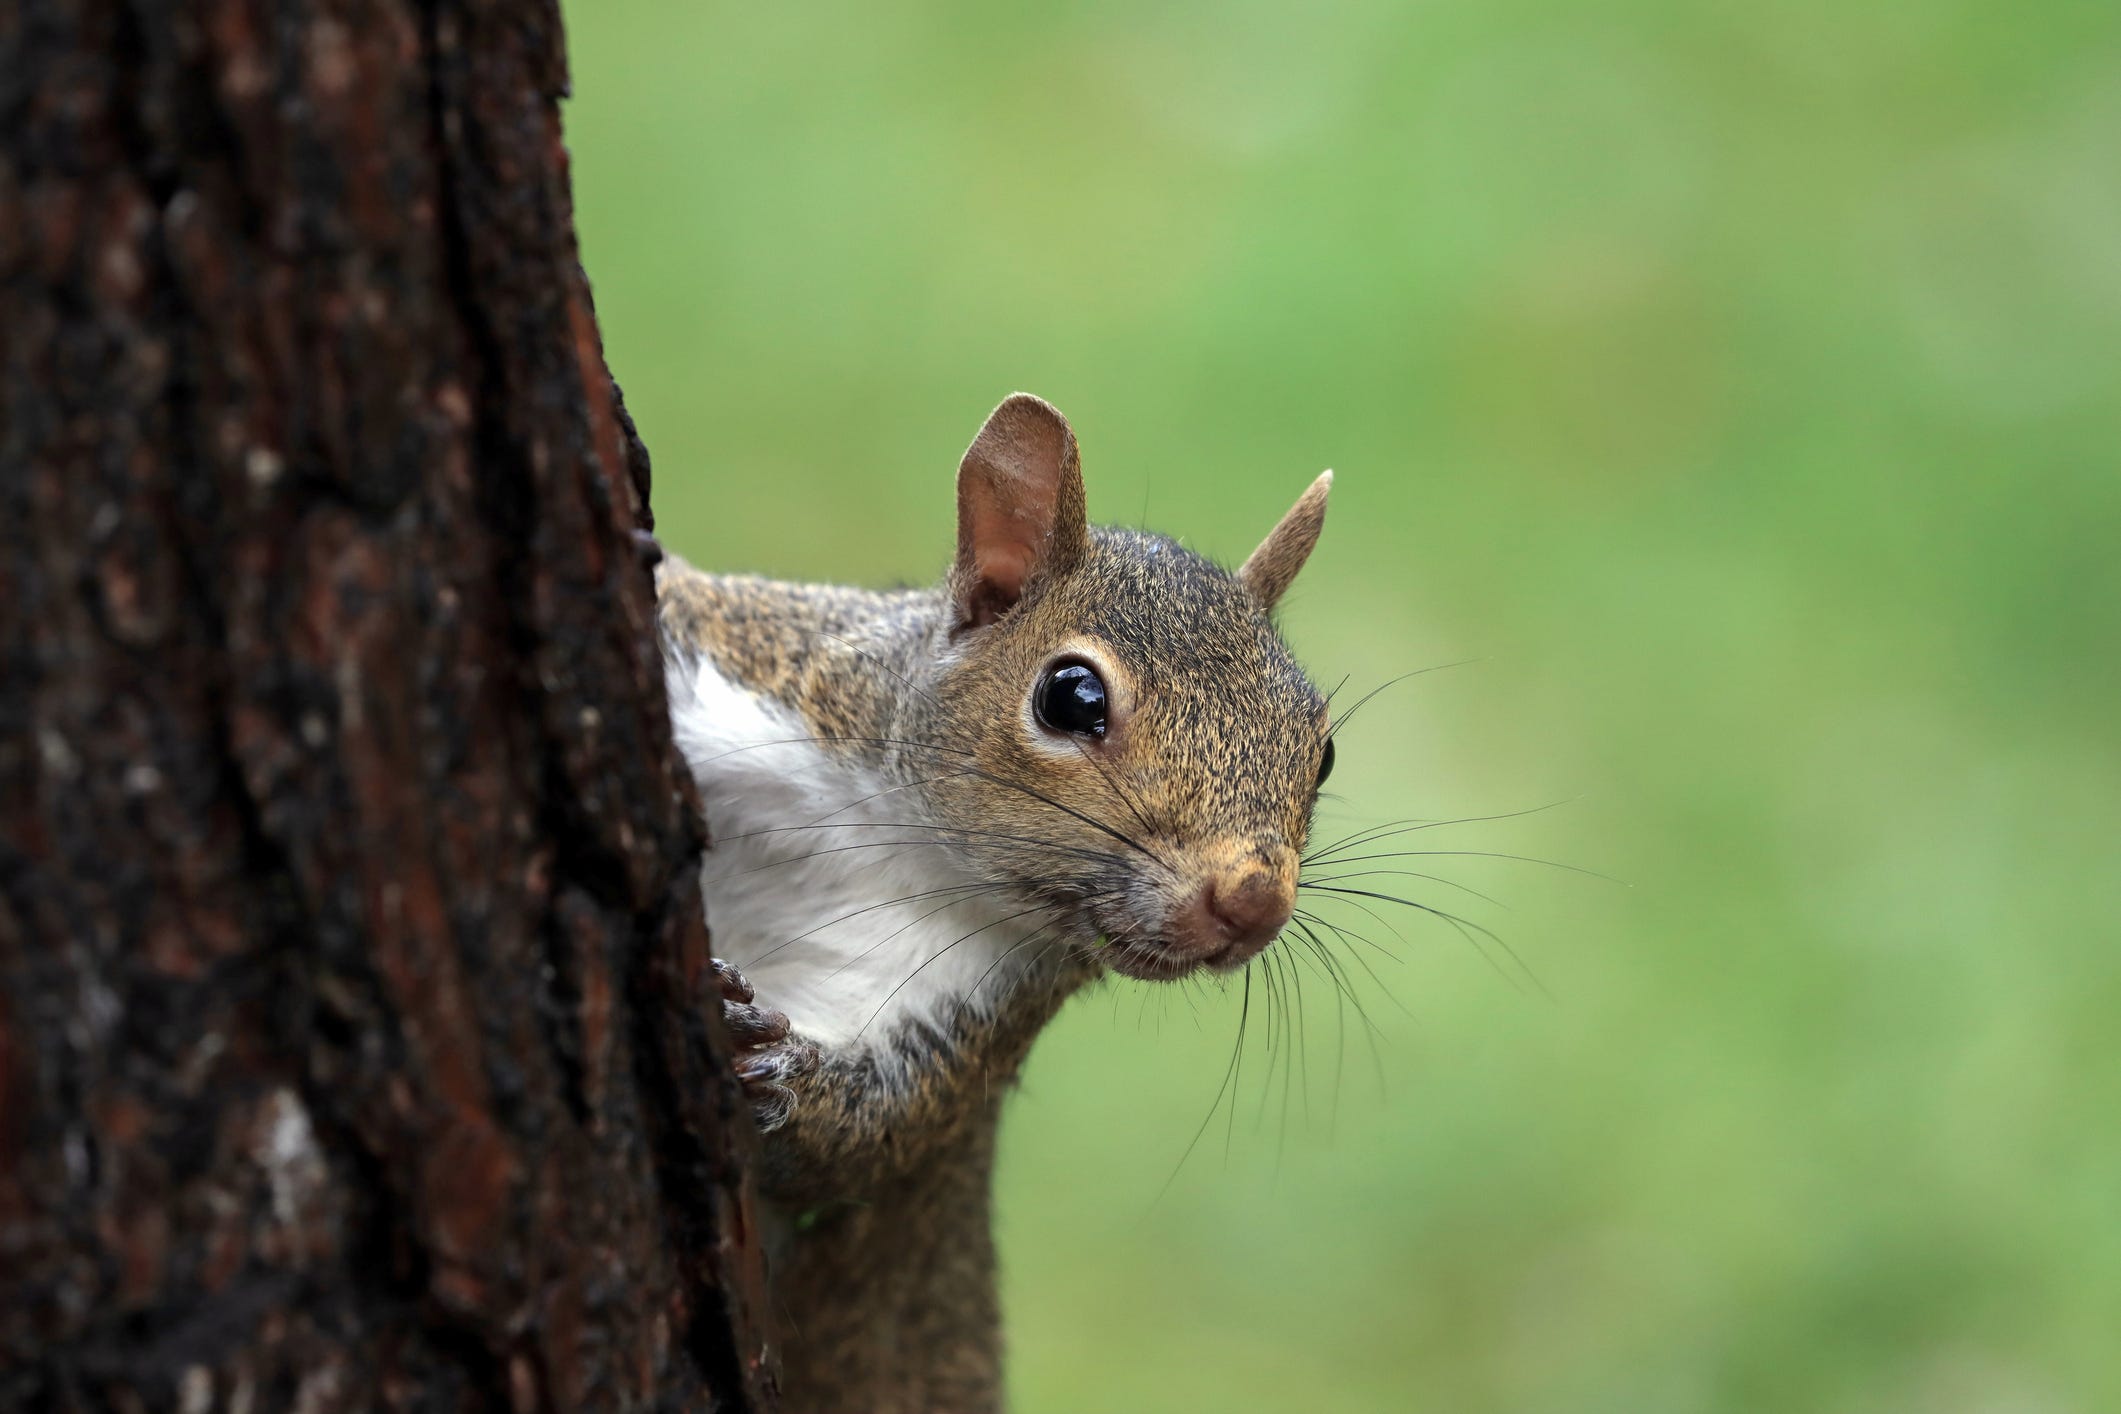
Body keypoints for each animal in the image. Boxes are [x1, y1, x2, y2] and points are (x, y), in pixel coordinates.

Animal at [653, 390, 1331, 1414]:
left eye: (1320, 749)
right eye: (1071, 695)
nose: (1252, 902)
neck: (902, 842)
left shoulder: (980, 1007)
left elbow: (857, 1140)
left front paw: (766, 1058)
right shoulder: (762, 667)